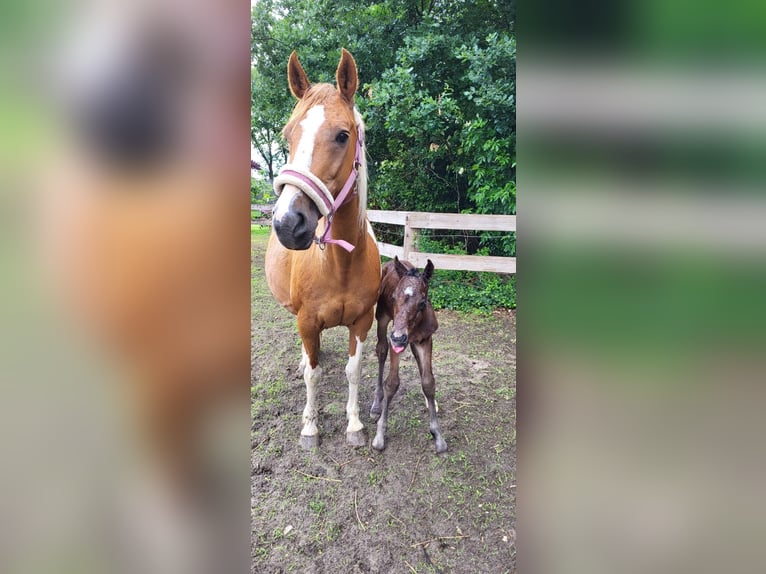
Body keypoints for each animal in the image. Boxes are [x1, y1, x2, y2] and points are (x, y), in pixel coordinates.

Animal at [265, 49, 381, 449]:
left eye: (343, 135)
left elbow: (353, 371)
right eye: (287, 134)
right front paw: (310, 428)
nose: (288, 223)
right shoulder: (307, 321)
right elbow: (313, 376)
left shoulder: (362, 322)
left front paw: (355, 425)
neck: (339, 263)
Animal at [370, 257, 447, 453]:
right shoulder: (395, 341)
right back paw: (376, 404)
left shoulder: (425, 339)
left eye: (422, 302)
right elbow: (392, 383)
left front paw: (438, 434)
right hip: (382, 319)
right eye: (393, 297)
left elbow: (428, 382)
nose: (399, 337)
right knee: (381, 350)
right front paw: (380, 435)